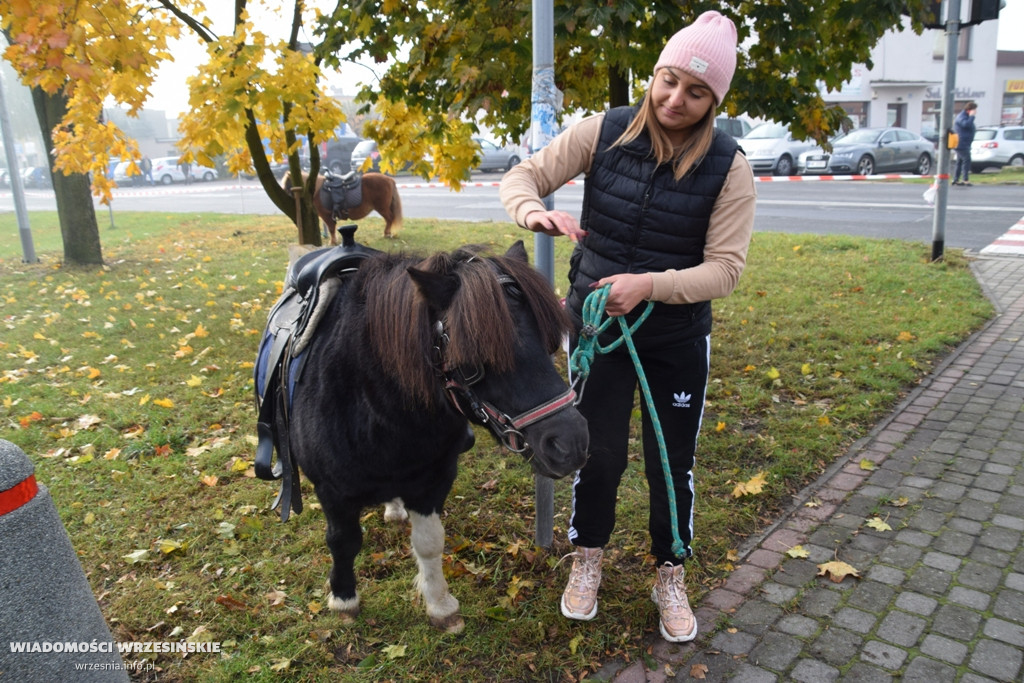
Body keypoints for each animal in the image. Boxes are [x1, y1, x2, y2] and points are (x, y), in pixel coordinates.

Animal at [276, 239, 589, 630]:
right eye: (476, 359)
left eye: (549, 343)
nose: (571, 443)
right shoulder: (332, 491)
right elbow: (342, 542)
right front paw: (344, 599)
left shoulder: (432, 480)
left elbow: (429, 542)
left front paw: (440, 604)